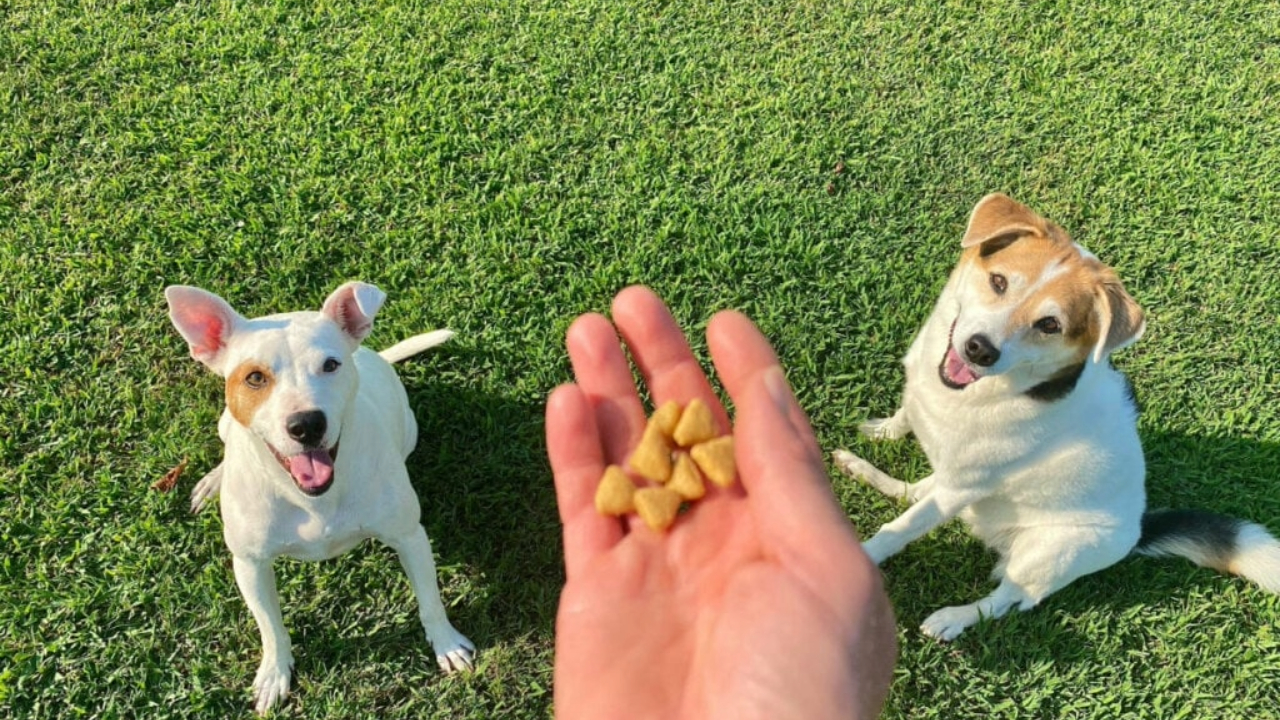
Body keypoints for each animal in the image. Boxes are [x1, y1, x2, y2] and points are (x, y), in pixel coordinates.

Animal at [165, 280, 476, 712]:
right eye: (255, 377)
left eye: (331, 365)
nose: (306, 424)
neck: (310, 497)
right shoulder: (250, 564)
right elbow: (270, 627)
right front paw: (274, 674)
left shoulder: (409, 537)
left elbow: (429, 599)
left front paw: (446, 644)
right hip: (225, 422)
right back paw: (214, 480)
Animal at [829, 192, 1280, 638]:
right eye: (998, 282)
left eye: (1049, 324)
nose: (980, 349)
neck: (986, 391)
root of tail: (1138, 531)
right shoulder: (940, 452)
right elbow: (905, 418)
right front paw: (883, 432)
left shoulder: (960, 488)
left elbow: (897, 531)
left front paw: (861, 560)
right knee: (913, 493)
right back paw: (863, 470)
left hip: (1045, 553)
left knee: (1005, 601)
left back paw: (952, 619)